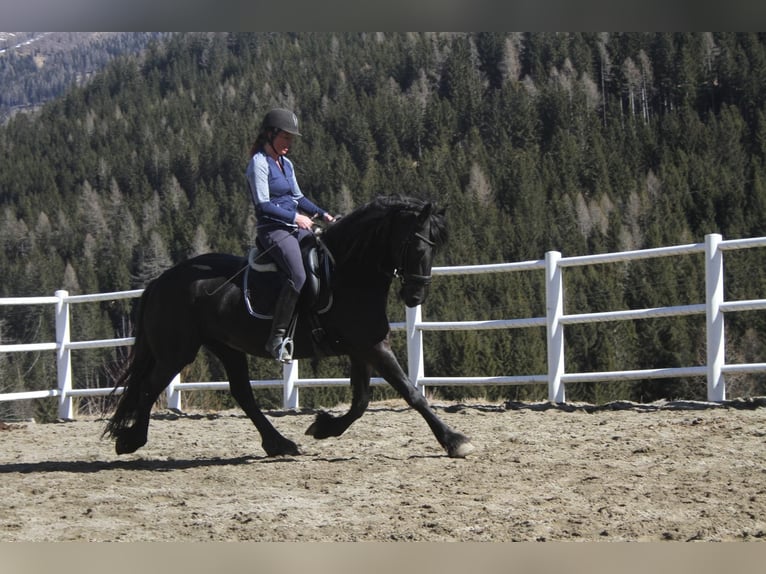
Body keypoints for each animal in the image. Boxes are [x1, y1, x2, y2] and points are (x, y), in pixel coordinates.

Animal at [102, 197, 474, 460]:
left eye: (434, 247)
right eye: (416, 245)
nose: (415, 296)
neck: (350, 273)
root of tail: (161, 282)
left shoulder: (361, 348)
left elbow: (361, 401)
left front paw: (324, 427)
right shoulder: (372, 347)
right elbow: (411, 393)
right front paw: (454, 440)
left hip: (226, 347)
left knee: (242, 394)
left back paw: (278, 443)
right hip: (176, 351)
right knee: (149, 388)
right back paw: (131, 440)